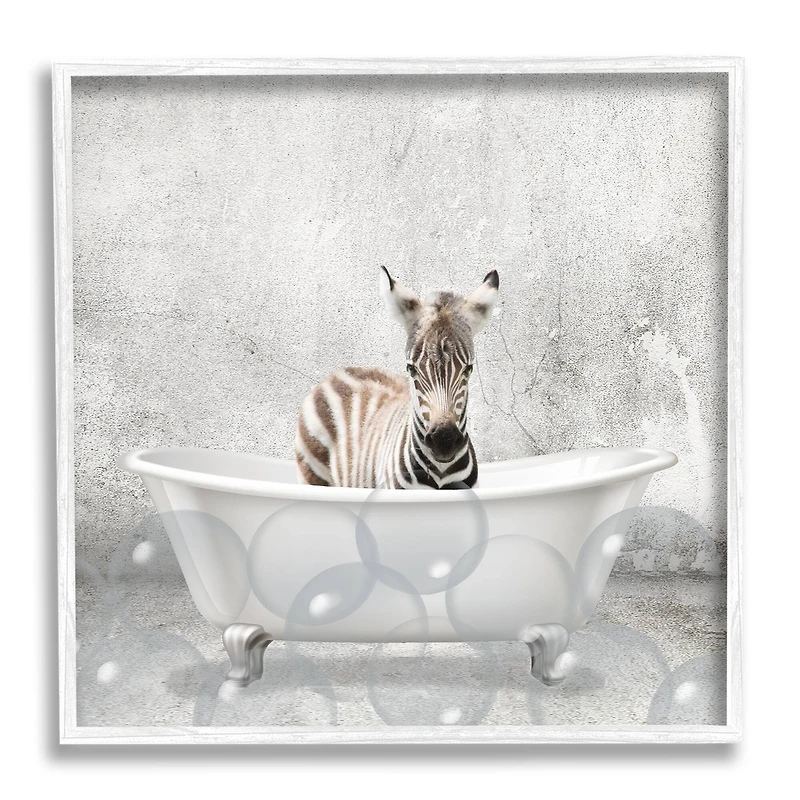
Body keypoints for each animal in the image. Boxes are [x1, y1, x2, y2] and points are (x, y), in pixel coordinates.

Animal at [294, 267, 500, 489]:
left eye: (468, 369)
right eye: (411, 369)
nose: (443, 441)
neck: (441, 473)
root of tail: (338, 372)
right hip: (313, 473)